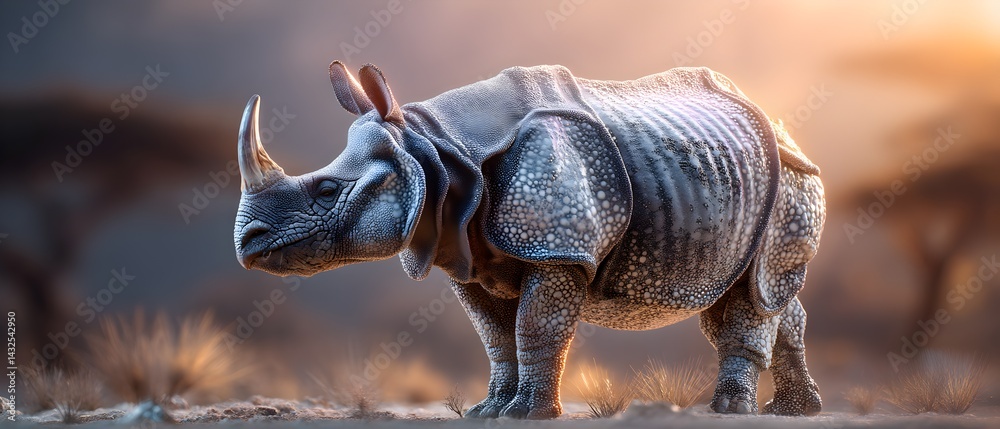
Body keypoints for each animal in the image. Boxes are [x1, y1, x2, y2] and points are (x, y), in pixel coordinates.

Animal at [233, 62, 826, 419]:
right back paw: (795, 412)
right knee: (761, 292)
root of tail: (782, 127)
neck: (438, 149)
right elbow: (495, 335)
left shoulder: (558, 248)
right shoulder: (462, 251)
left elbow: (536, 326)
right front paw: (488, 412)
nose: (248, 243)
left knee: (755, 294)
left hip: (793, 179)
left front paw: (527, 414)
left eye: (327, 189)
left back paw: (730, 411)